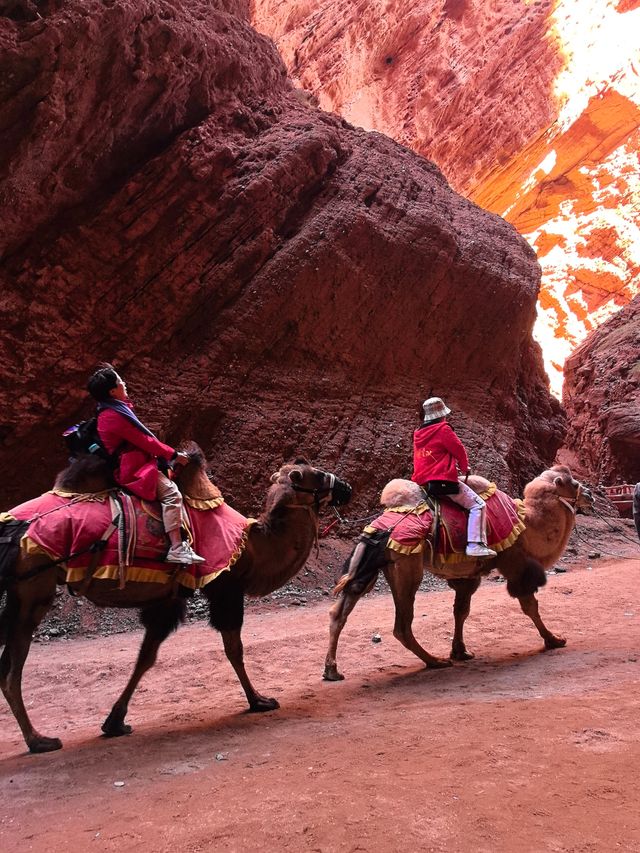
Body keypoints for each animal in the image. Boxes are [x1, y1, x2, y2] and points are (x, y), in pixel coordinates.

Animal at [0, 446, 350, 752]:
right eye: (317, 475)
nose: (346, 487)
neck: (251, 549)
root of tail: (11, 531)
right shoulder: (225, 589)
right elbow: (234, 649)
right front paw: (259, 700)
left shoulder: (168, 599)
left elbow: (146, 656)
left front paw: (115, 721)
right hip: (33, 588)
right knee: (11, 671)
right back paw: (38, 740)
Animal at [322, 462, 592, 684]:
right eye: (573, 483)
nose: (590, 494)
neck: (527, 526)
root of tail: (379, 528)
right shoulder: (513, 561)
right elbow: (529, 605)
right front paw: (553, 639)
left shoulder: (468, 576)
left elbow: (461, 611)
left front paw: (460, 651)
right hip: (407, 567)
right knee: (402, 625)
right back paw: (435, 661)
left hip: (368, 566)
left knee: (339, 611)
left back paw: (332, 670)